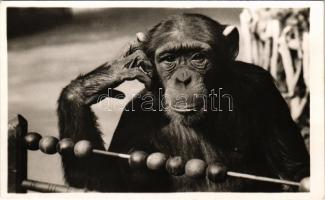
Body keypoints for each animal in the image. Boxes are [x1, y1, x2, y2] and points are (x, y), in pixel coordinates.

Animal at [57, 13, 308, 191]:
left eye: (198, 57)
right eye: (169, 59)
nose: (184, 78)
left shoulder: (262, 89)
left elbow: (293, 172)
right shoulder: (134, 115)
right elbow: (107, 183)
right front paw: (95, 82)